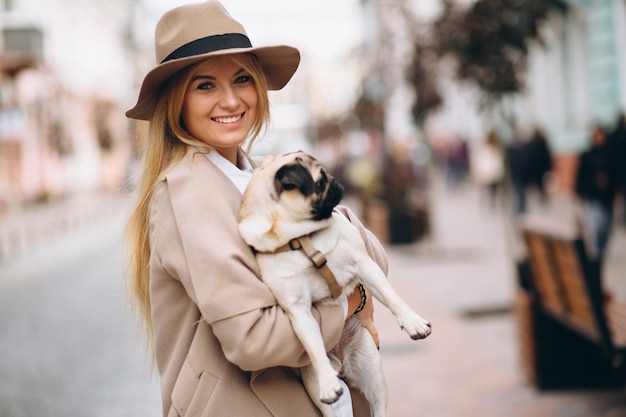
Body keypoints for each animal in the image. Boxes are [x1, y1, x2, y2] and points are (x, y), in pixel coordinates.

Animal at [236, 152, 432, 416]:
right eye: (319, 182)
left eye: (325, 174)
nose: (335, 180)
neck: (302, 238)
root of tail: (343, 363)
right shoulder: (298, 310)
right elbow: (313, 347)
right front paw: (327, 382)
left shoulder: (364, 264)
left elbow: (393, 298)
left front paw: (413, 323)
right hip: (317, 385)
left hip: (372, 369)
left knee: (379, 407)